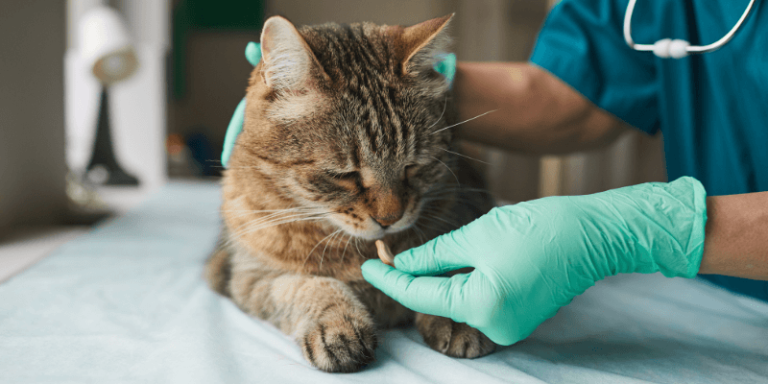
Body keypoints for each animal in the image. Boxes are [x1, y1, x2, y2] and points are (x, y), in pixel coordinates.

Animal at [204, 14, 496, 372]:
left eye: (413, 166)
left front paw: (457, 306)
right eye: (345, 175)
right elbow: (308, 286)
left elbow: (456, 262)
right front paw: (338, 324)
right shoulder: (246, 275)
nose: (390, 218)